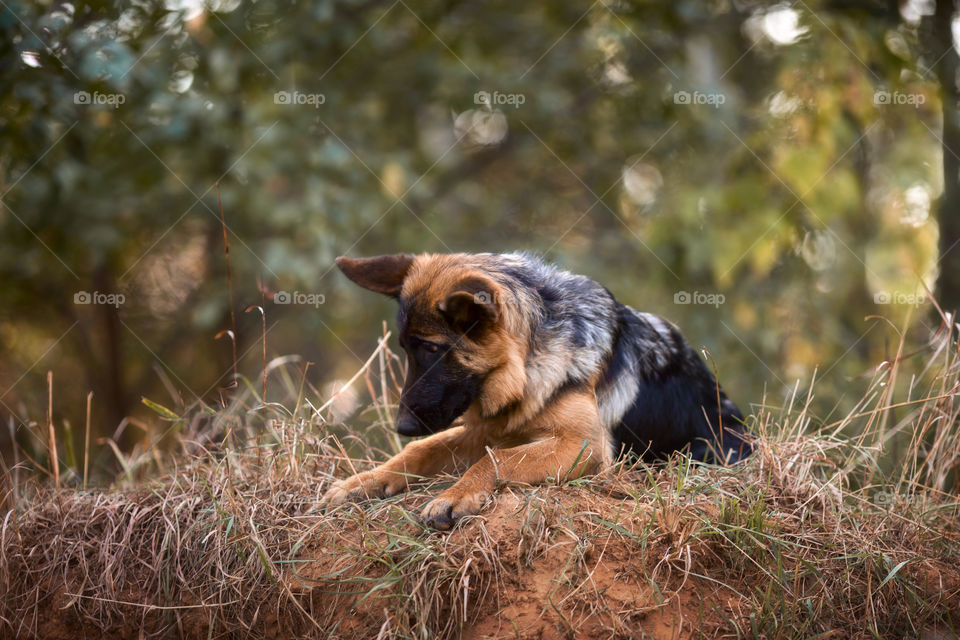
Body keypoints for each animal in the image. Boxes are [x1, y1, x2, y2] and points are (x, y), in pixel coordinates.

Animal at [322, 251, 752, 528]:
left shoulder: (583, 445)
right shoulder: (488, 431)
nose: (402, 426)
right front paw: (363, 482)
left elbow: (499, 460)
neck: (528, 365)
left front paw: (454, 496)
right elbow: (423, 450)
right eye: (405, 349)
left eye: (431, 349)